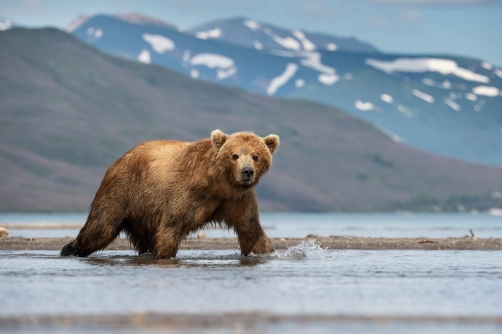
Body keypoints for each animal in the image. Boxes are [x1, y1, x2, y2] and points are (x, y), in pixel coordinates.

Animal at [61, 130, 280, 258]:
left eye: (256, 156)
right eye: (234, 155)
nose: (247, 172)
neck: (219, 184)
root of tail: (120, 159)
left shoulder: (237, 199)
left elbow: (250, 229)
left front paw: (265, 252)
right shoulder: (187, 193)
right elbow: (172, 226)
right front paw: (164, 255)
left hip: (143, 211)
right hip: (122, 191)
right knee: (101, 226)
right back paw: (70, 249)